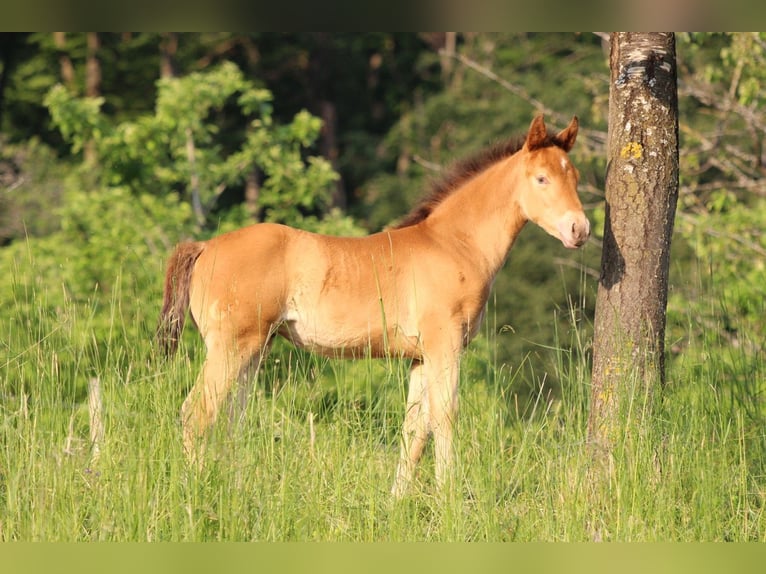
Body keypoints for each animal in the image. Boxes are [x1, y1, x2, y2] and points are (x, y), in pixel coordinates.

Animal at [154, 115, 588, 498]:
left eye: (576, 178)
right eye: (542, 178)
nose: (579, 230)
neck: (453, 244)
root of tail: (205, 246)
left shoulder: (420, 357)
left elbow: (415, 428)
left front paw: (397, 502)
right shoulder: (444, 345)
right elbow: (445, 416)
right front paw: (449, 498)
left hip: (253, 350)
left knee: (230, 419)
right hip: (231, 347)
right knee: (197, 413)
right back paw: (196, 492)